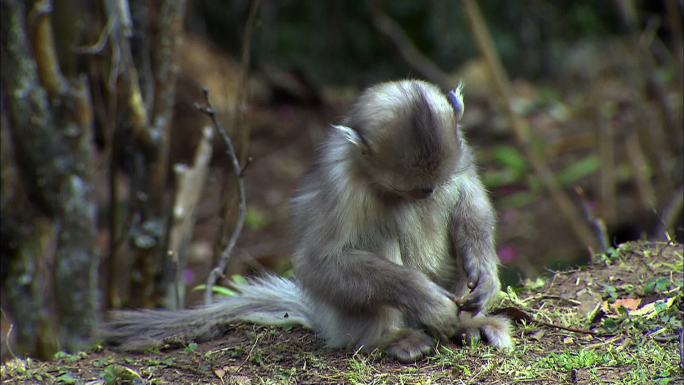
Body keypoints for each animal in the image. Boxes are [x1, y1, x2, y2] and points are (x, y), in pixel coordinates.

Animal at [103, 79, 512, 362]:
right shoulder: (340, 181)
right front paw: (426, 298)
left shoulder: (460, 150)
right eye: (412, 189)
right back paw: (391, 338)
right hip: (349, 321)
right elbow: (320, 263)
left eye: (430, 185)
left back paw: (470, 325)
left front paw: (485, 278)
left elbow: (470, 199)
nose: (426, 194)